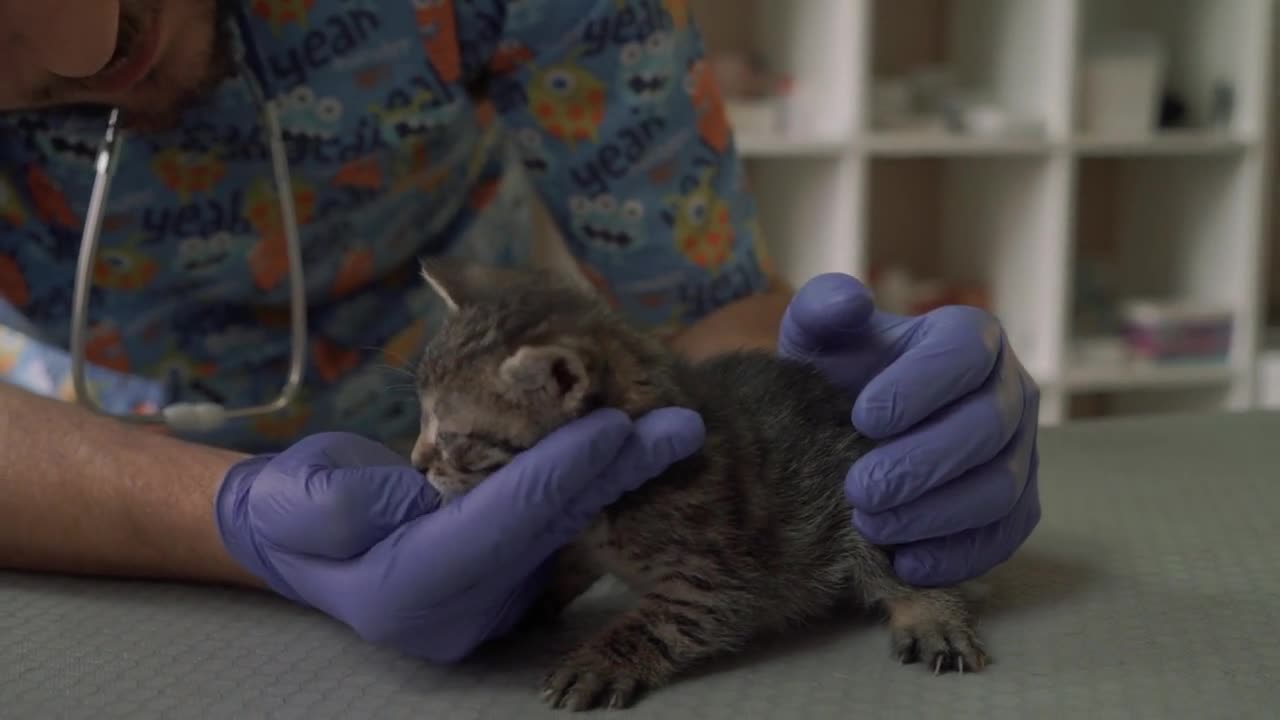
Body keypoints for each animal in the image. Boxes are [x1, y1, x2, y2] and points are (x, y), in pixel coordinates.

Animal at [409, 256, 988, 707]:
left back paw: (930, 614)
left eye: (453, 434)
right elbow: (565, 562)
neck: (606, 506)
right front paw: (513, 602)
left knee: (899, 560)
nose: (417, 462)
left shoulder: (716, 578)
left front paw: (600, 658)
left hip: (869, 498)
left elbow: (659, 621)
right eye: (421, 417)